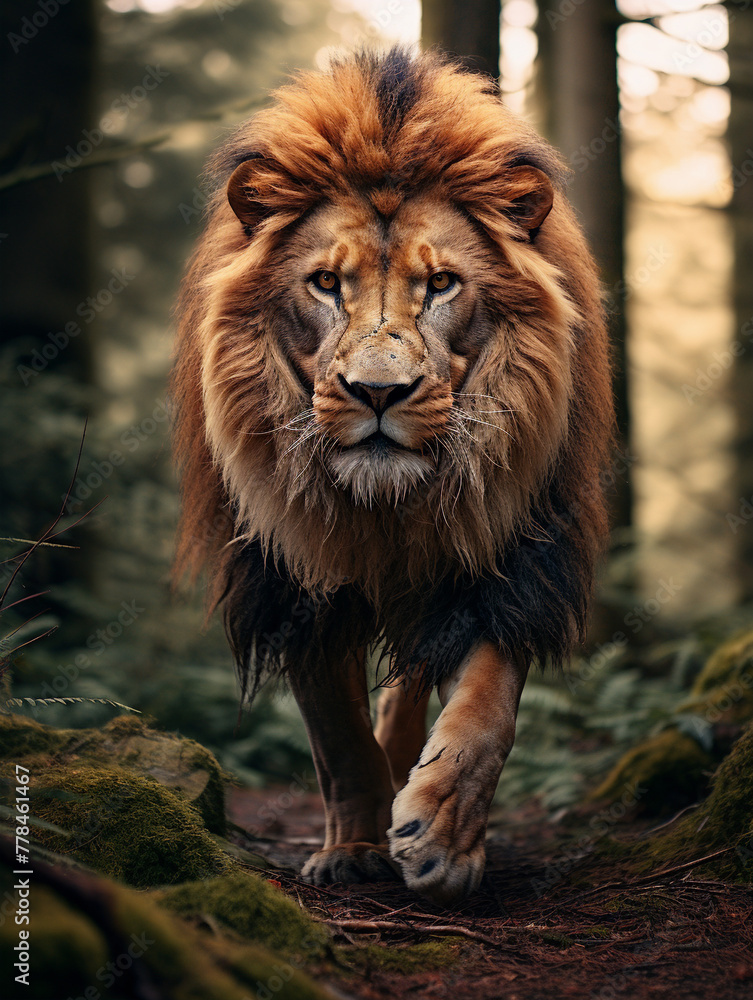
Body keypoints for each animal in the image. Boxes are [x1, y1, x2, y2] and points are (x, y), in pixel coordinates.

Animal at [172, 48, 613, 904]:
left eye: (440, 284)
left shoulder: (508, 552)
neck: (383, 508)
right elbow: (336, 734)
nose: (378, 393)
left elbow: (485, 707)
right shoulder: (291, 573)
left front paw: (442, 835)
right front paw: (352, 848)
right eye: (323, 283)